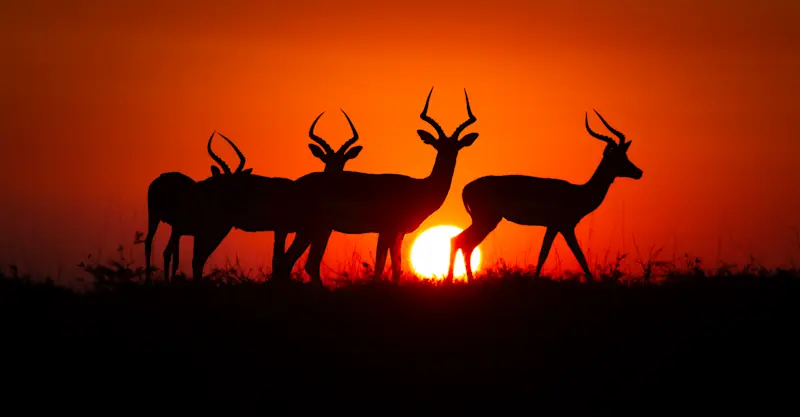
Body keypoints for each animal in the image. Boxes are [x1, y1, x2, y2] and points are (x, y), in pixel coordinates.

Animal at [144, 131, 253, 282]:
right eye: (224, 183)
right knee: (153, 245)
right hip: (156, 217)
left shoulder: (205, 235)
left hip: (174, 229)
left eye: (238, 184)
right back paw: (149, 280)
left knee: (170, 254)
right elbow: (193, 260)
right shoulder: (193, 233)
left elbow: (199, 260)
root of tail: (160, 178)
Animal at [278, 87, 479, 284]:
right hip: (311, 228)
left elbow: (396, 268)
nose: (449, 160)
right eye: (438, 146)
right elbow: (382, 268)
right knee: (295, 262)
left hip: (315, 229)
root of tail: (296, 185)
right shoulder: (387, 230)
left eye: (456, 147)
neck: (419, 188)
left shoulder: (398, 233)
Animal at [446, 110, 643, 283]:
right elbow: (574, 255)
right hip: (487, 221)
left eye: (625, 155)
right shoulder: (564, 226)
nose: (638, 172)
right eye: (617, 158)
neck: (578, 193)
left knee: (460, 241)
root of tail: (465, 188)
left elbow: (547, 254)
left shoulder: (554, 227)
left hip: (483, 221)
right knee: (461, 241)